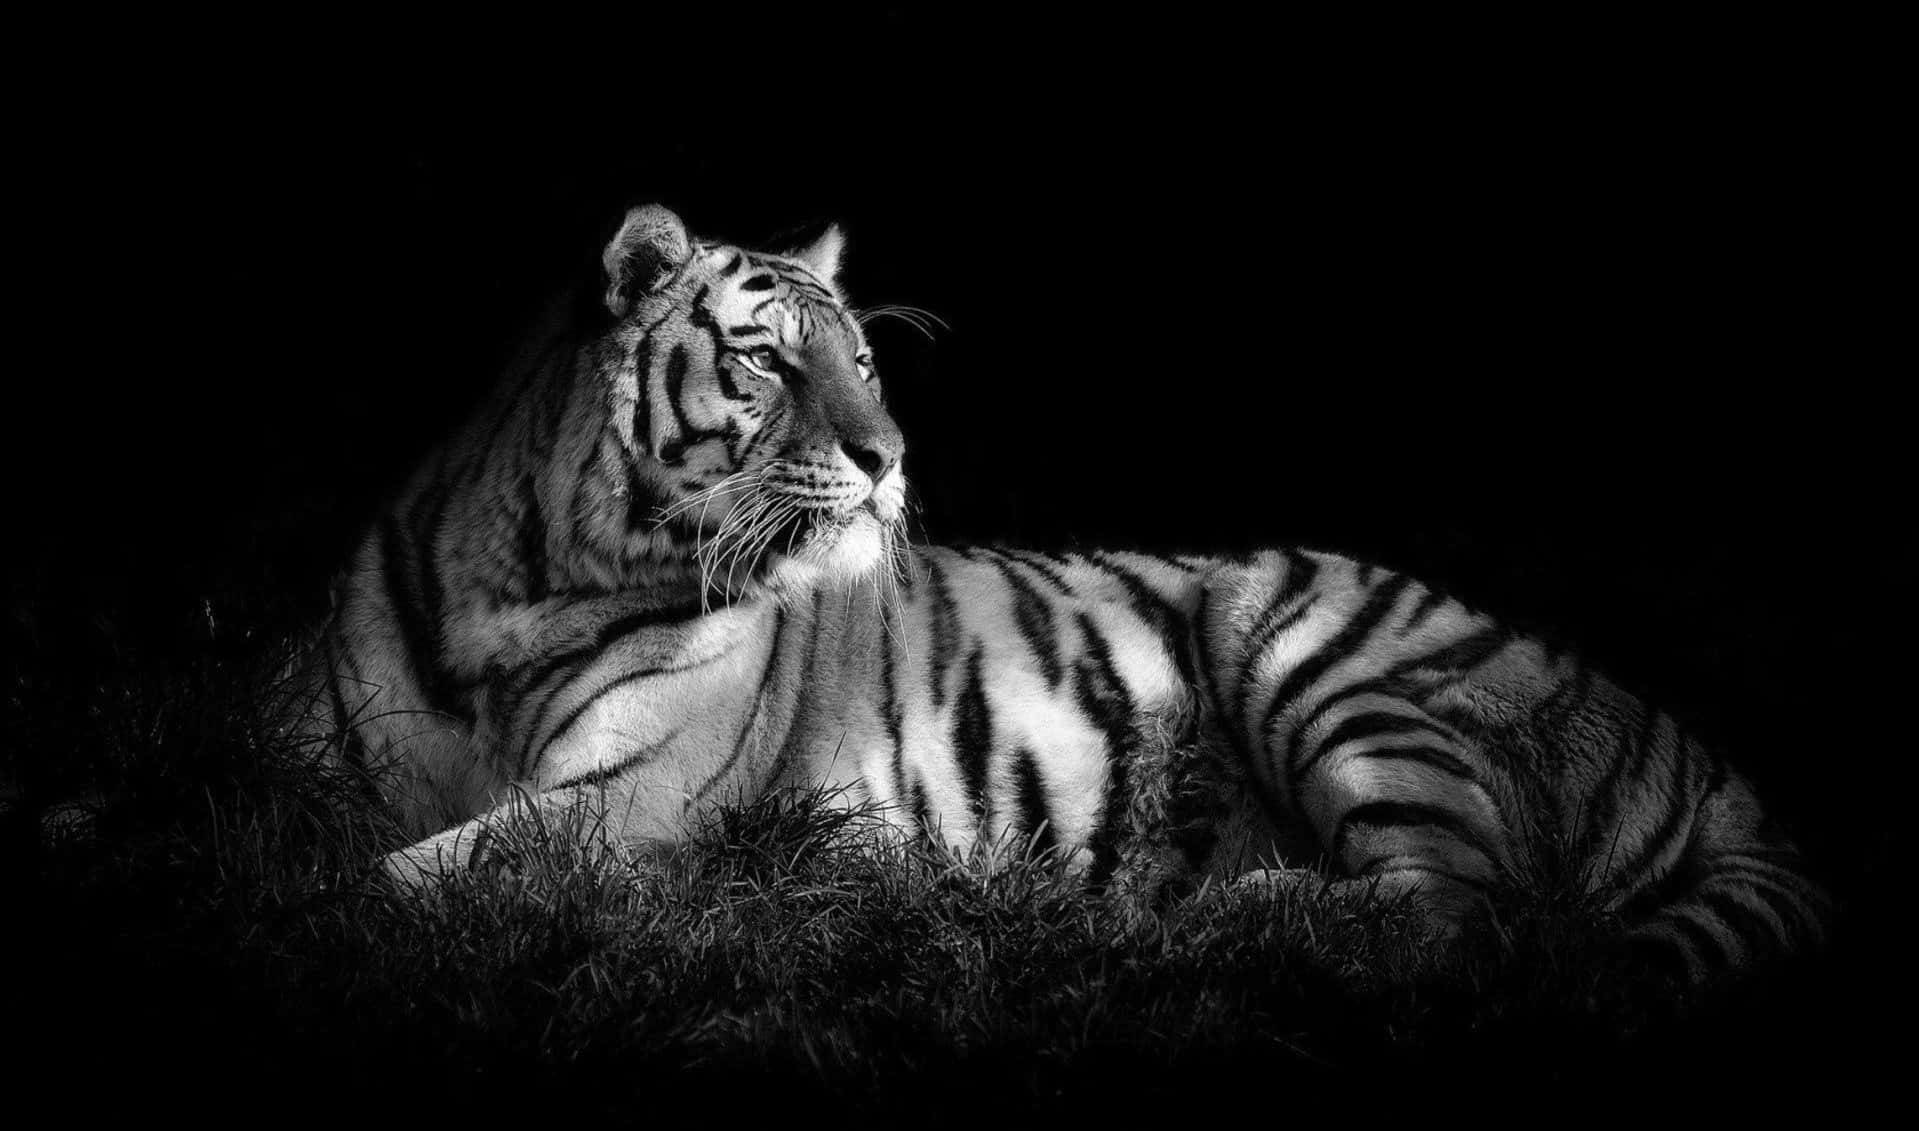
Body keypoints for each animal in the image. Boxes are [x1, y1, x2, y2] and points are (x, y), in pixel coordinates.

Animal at [293, 203, 1827, 984]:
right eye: (769, 359)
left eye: (866, 361)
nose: (890, 458)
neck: (525, 586)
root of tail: (1689, 748)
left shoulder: (626, 798)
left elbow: (414, 880)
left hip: (1319, 652)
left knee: (1464, 914)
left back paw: (1195, 923)